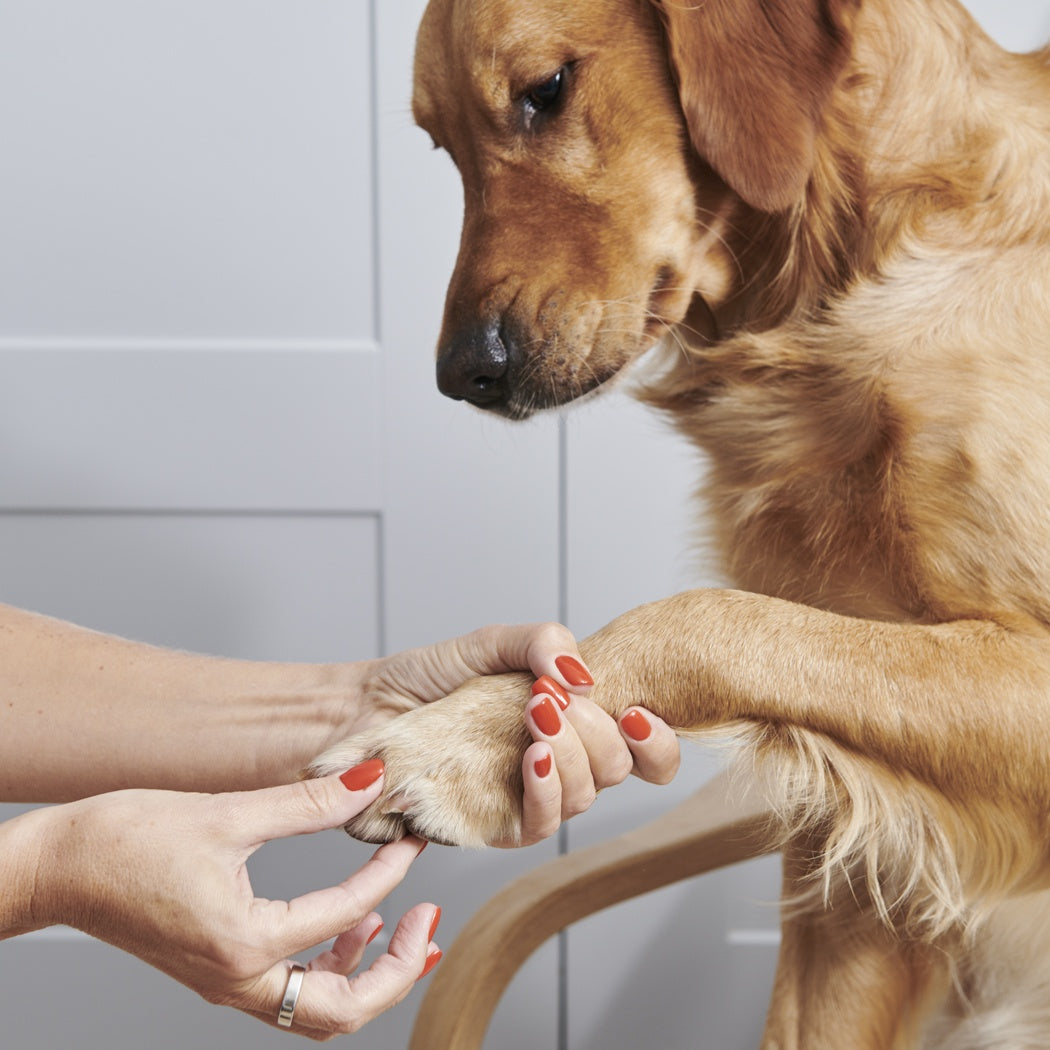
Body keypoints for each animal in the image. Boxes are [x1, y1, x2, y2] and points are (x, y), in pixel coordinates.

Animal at [310, 2, 1050, 1041]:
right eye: (441, 145)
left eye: (546, 90)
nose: (463, 375)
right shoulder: (868, 855)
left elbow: (708, 617)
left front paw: (454, 741)